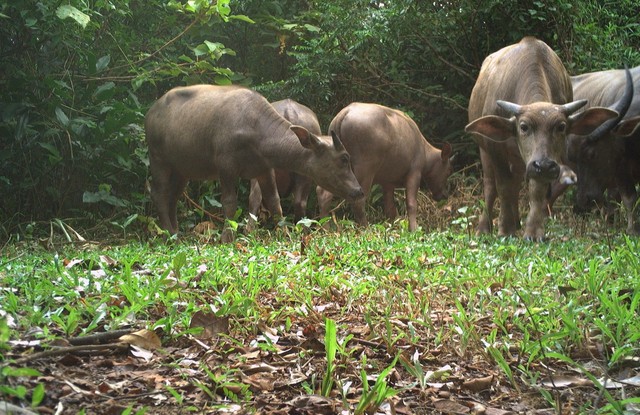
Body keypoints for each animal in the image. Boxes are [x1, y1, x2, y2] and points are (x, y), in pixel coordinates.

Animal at [146, 84, 364, 242]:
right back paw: (169, 235)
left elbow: (275, 202)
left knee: (173, 197)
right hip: (158, 159)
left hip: (181, 169)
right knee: (159, 193)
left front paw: (285, 233)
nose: (358, 190)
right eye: (344, 158)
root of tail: (151, 112)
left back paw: (175, 232)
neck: (254, 128)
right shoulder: (226, 167)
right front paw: (227, 237)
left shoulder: (264, 170)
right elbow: (230, 202)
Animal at [318, 102, 452, 232]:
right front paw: (413, 229)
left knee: (323, 194)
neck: (424, 151)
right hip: (365, 169)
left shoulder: (388, 182)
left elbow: (390, 209)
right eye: (448, 171)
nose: (445, 194)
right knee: (358, 201)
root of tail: (343, 114)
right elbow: (411, 204)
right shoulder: (414, 172)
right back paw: (366, 230)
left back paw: (326, 229)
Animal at [464, 38, 620, 244]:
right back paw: (485, 227)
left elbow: (536, 190)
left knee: (516, 183)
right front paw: (505, 230)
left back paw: (517, 222)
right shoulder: (496, 150)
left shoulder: (542, 162)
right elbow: (502, 187)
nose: (544, 164)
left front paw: (533, 232)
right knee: (491, 186)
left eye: (561, 127)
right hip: (485, 150)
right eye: (523, 126)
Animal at [564, 65, 640, 234]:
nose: (584, 200)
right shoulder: (621, 170)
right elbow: (629, 197)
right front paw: (632, 230)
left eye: (591, 154)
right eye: (573, 158)